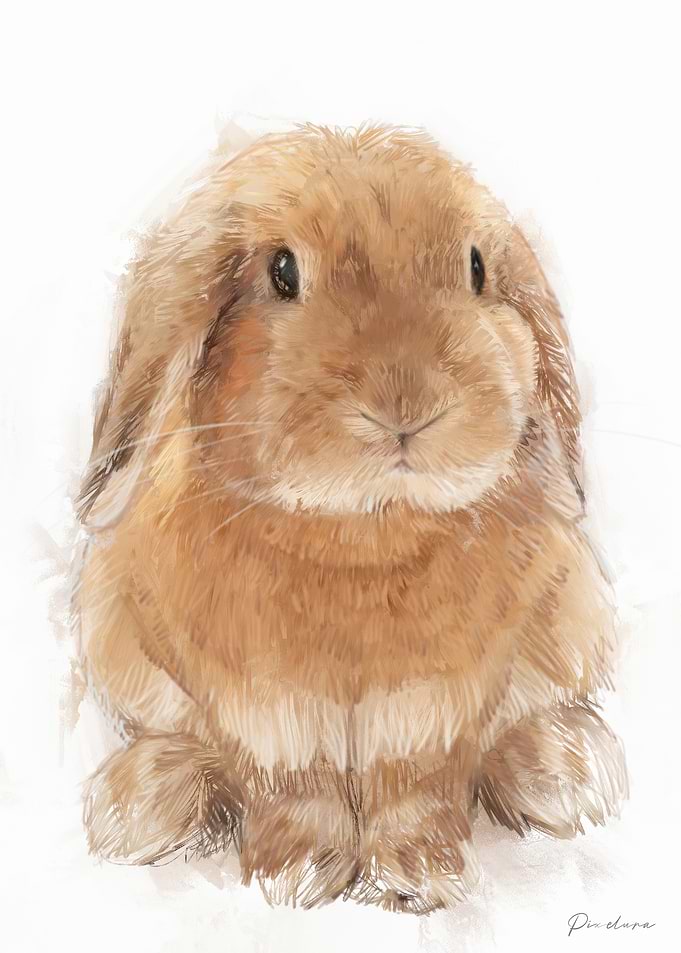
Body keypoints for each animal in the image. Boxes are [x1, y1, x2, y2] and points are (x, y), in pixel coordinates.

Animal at [72, 123, 627, 914]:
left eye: (477, 268)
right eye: (281, 271)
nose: (407, 407)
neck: (362, 534)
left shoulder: (431, 713)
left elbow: (415, 788)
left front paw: (421, 874)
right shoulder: (269, 715)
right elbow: (294, 787)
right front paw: (295, 872)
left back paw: (565, 773)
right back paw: (143, 802)